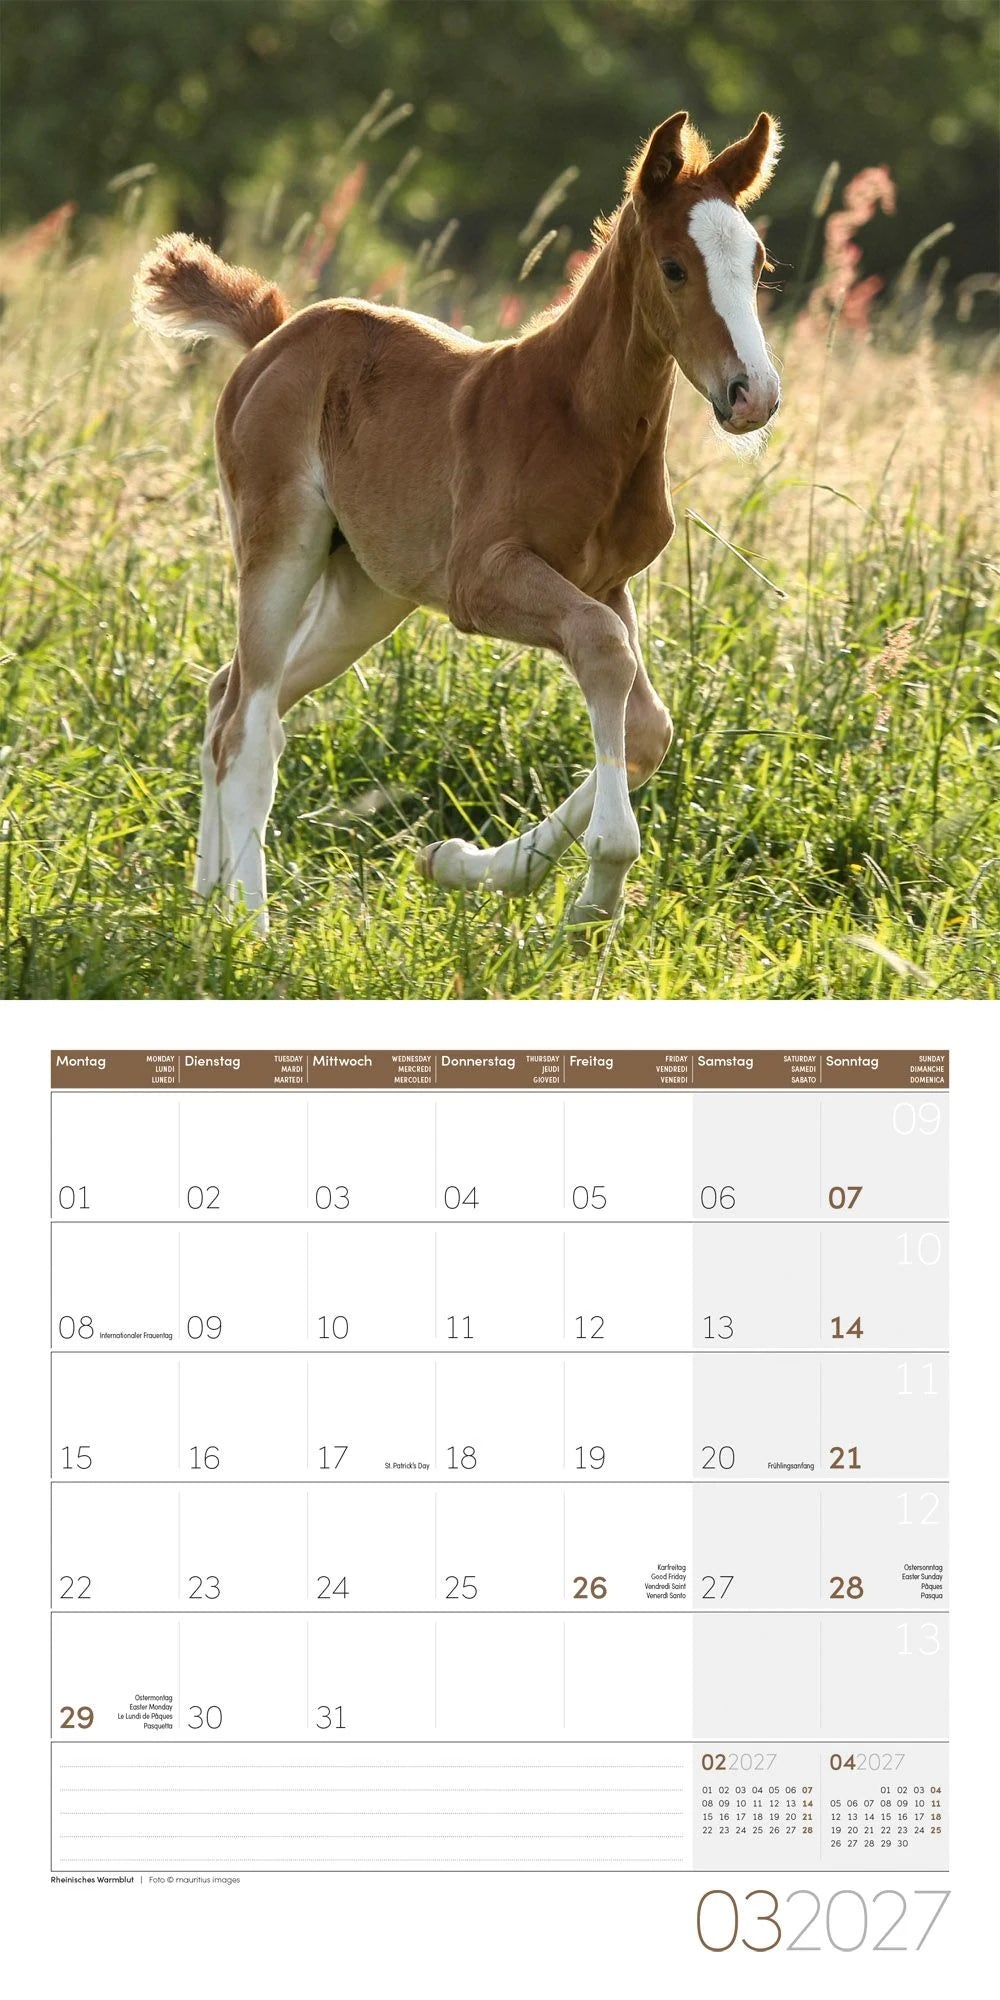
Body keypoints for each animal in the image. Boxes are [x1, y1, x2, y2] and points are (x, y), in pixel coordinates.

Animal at [133, 109, 781, 934]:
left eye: (757, 265)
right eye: (674, 267)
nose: (752, 394)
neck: (577, 416)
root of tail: (273, 336)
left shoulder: (606, 582)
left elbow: (647, 727)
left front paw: (466, 864)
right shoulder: (484, 581)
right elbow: (605, 653)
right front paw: (598, 884)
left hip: (368, 592)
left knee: (229, 699)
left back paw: (209, 903)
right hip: (281, 544)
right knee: (250, 728)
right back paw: (249, 926)